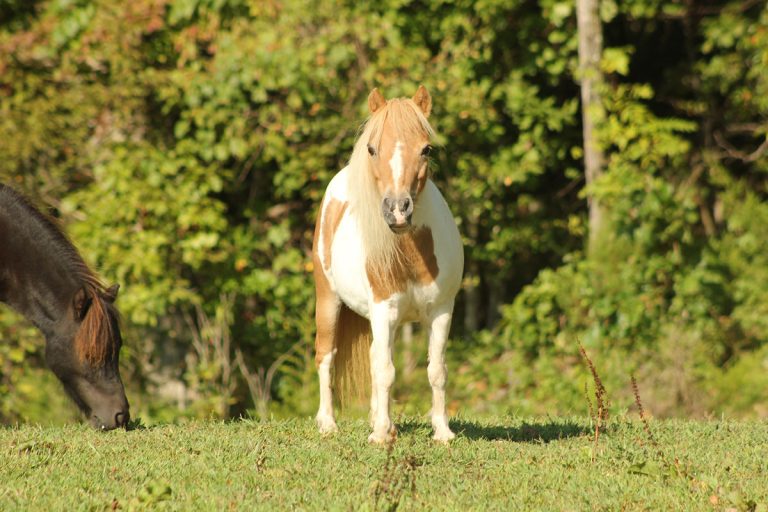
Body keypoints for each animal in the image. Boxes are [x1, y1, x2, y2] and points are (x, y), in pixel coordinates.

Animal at [312, 86, 463, 443]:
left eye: (426, 149)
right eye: (371, 148)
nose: (397, 210)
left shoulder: (441, 311)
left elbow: (436, 370)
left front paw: (442, 431)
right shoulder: (384, 310)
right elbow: (385, 370)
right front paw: (380, 435)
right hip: (328, 300)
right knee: (326, 355)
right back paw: (328, 424)